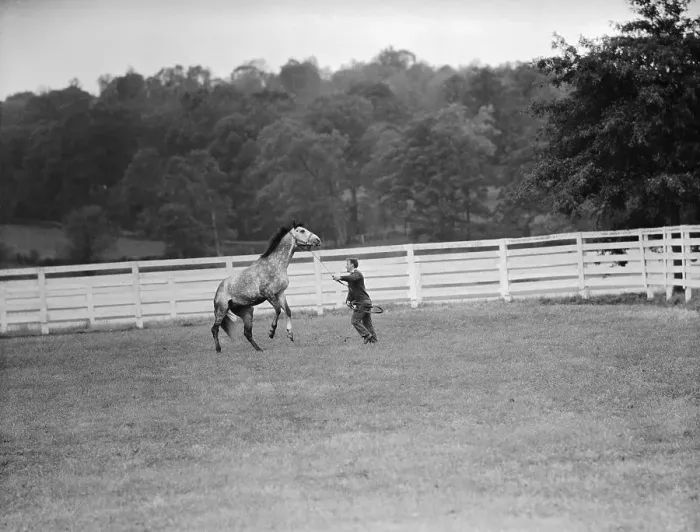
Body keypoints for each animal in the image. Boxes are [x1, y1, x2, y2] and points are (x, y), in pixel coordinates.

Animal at [211, 221, 322, 352]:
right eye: (302, 230)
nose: (318, 240)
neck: (275, 265)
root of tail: (219, 289)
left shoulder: (280, 293)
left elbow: (288, 311)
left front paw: (290, 334)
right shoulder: (267, 293)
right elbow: (278, 309)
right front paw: (271, 332)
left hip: (247, 312)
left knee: (247, 333)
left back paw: (259, 349)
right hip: (221, 310)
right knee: (215, 329)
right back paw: (218, 349)